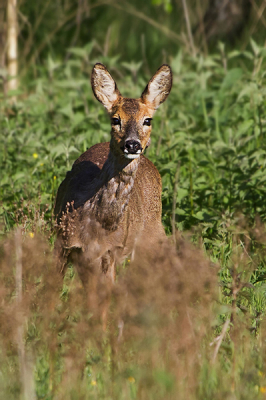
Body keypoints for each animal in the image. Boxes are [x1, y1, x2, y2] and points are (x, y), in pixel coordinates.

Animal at [54, 63, 172, 310]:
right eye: (115, 119)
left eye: (148, 120)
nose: (132, 144)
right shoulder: (63, 242)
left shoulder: (110, 252)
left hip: (153, 234)